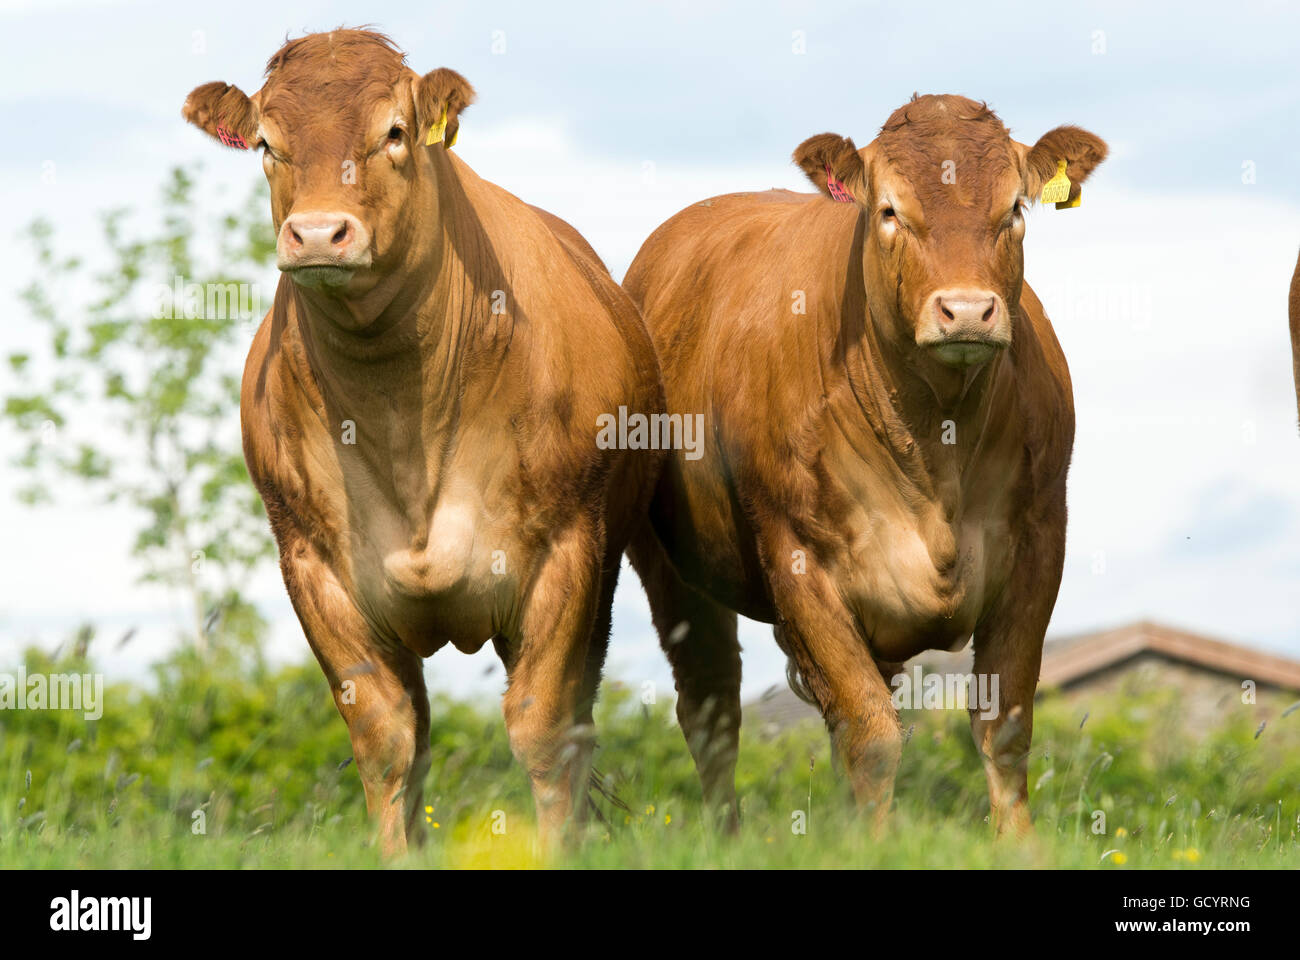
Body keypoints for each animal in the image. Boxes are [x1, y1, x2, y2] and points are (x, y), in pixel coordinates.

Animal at [183, 29, 665, 853]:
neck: (401, 421)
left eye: (395, 133)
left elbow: (544, 731)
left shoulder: (567, 553)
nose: (318, 232)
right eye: (267, 145)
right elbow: (387, 743)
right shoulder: (314, 567)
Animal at [629, 93, 1107, 832]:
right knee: (711, 711)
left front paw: (1018, 843)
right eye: (889, 211)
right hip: (672, 572)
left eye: (1014, 210)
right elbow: (872, 734)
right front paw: (873, 844)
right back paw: (726, 837)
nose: (967, 309)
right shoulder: (799, 559)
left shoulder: (1039, 543)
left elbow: (1005, 726)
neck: (936, 442)